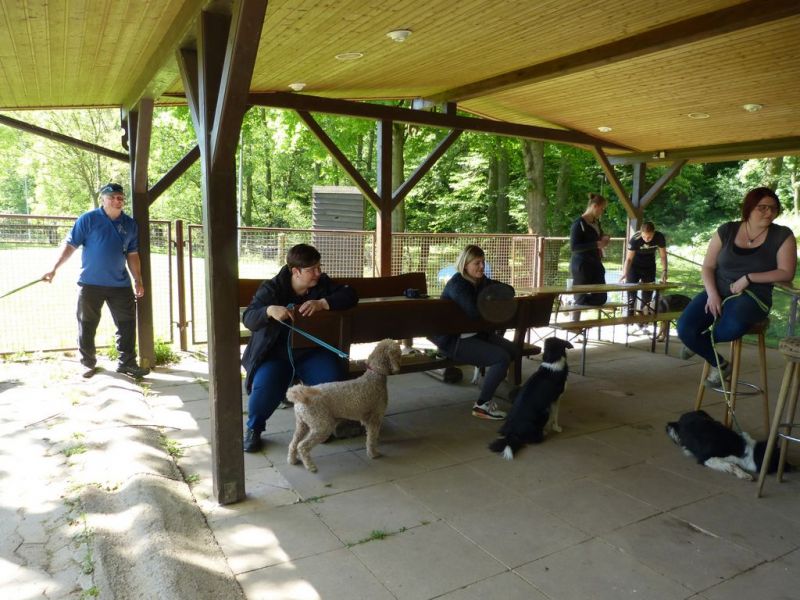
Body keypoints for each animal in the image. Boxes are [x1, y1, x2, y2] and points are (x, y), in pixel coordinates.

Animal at [286, 339, 402, 472]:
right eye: (398, 353)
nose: (399, 367)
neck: (375, 375)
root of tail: (301, 396)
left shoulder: (368, 420)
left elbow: (371, 436)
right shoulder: (375, 418)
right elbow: (372, 438)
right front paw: (373, 454)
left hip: (302, 424)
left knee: (293, 443)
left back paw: (292, 460)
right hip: (322, 426)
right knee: (302, 446)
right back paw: (310, 466)